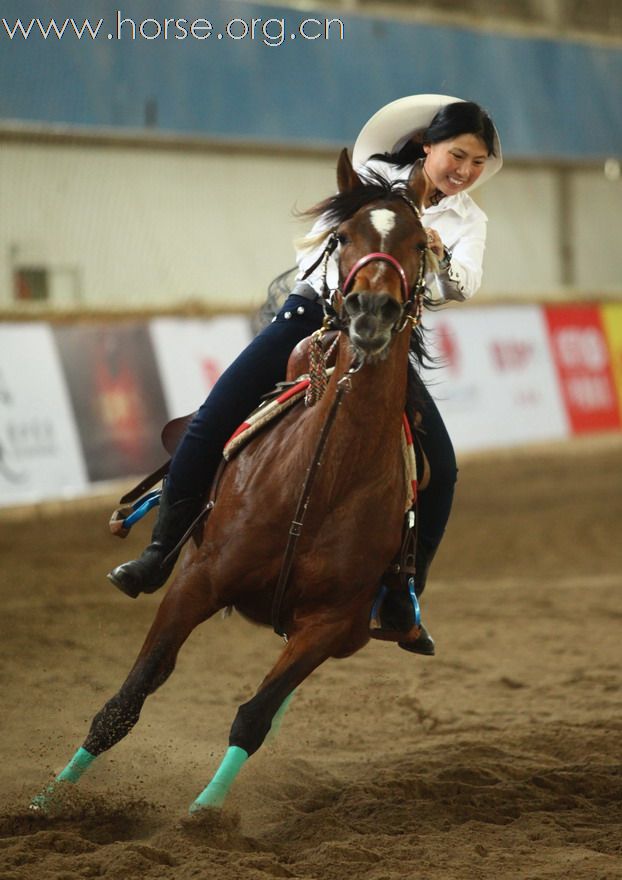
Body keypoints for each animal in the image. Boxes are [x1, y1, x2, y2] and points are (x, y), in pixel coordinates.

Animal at [33, 150, 434, 812]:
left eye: (420, 243)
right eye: (344, 236)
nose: (370, 312)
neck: (320, 479)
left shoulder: (329, 622)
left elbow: (254, 715)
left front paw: (204, 812)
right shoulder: (198, 580)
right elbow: (127, 700)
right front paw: (48, 800)